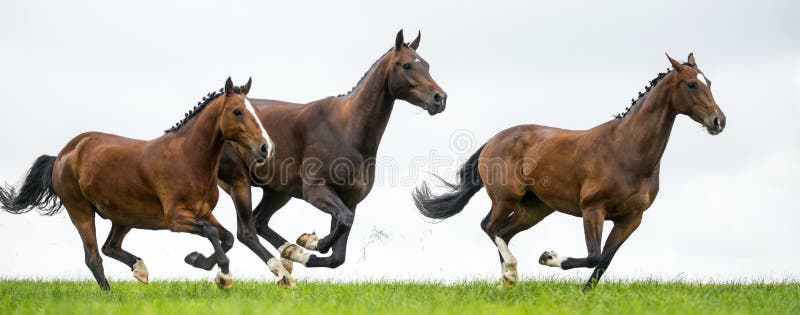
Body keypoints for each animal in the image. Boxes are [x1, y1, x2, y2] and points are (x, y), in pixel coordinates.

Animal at [0, 78, 282, 290]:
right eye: (237, 111)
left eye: (255, 111)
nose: (265, 147)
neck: (188, 158)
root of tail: (62, 155)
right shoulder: (176, 219)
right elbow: (213, 234)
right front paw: (222, 273)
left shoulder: (203, 212)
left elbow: (227, 237)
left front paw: (198, 260)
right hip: (81, 212)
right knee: (94, 257)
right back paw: (110, 295)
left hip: (125, 217)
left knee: (110, 247)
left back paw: (140, 269)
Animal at [189, 30, 444, 278]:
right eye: (407, 65)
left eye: (427, 65)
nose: (439, 98)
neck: (347, 129)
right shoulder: (316, 191)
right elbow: (343, 223)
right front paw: (315, 243)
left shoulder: (350, 200)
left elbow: (338, 254)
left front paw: (305, 248)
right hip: (239, 183)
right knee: (246, 231)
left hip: (277, 192)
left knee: (259, 222)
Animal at [412, 53, 724, 292]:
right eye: (692, 84)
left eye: (708, 82)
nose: (718, 121)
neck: (627, 150)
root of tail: (494, 140)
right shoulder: (592, 210)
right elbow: (594, 255)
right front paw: (548, 257)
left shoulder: (631, 219)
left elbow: (604, 260)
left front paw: (586, 294)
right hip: (506, 198)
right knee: (489, 227)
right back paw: (510, 273)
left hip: (535, 209)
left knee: (503, 232)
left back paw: (507, 282)